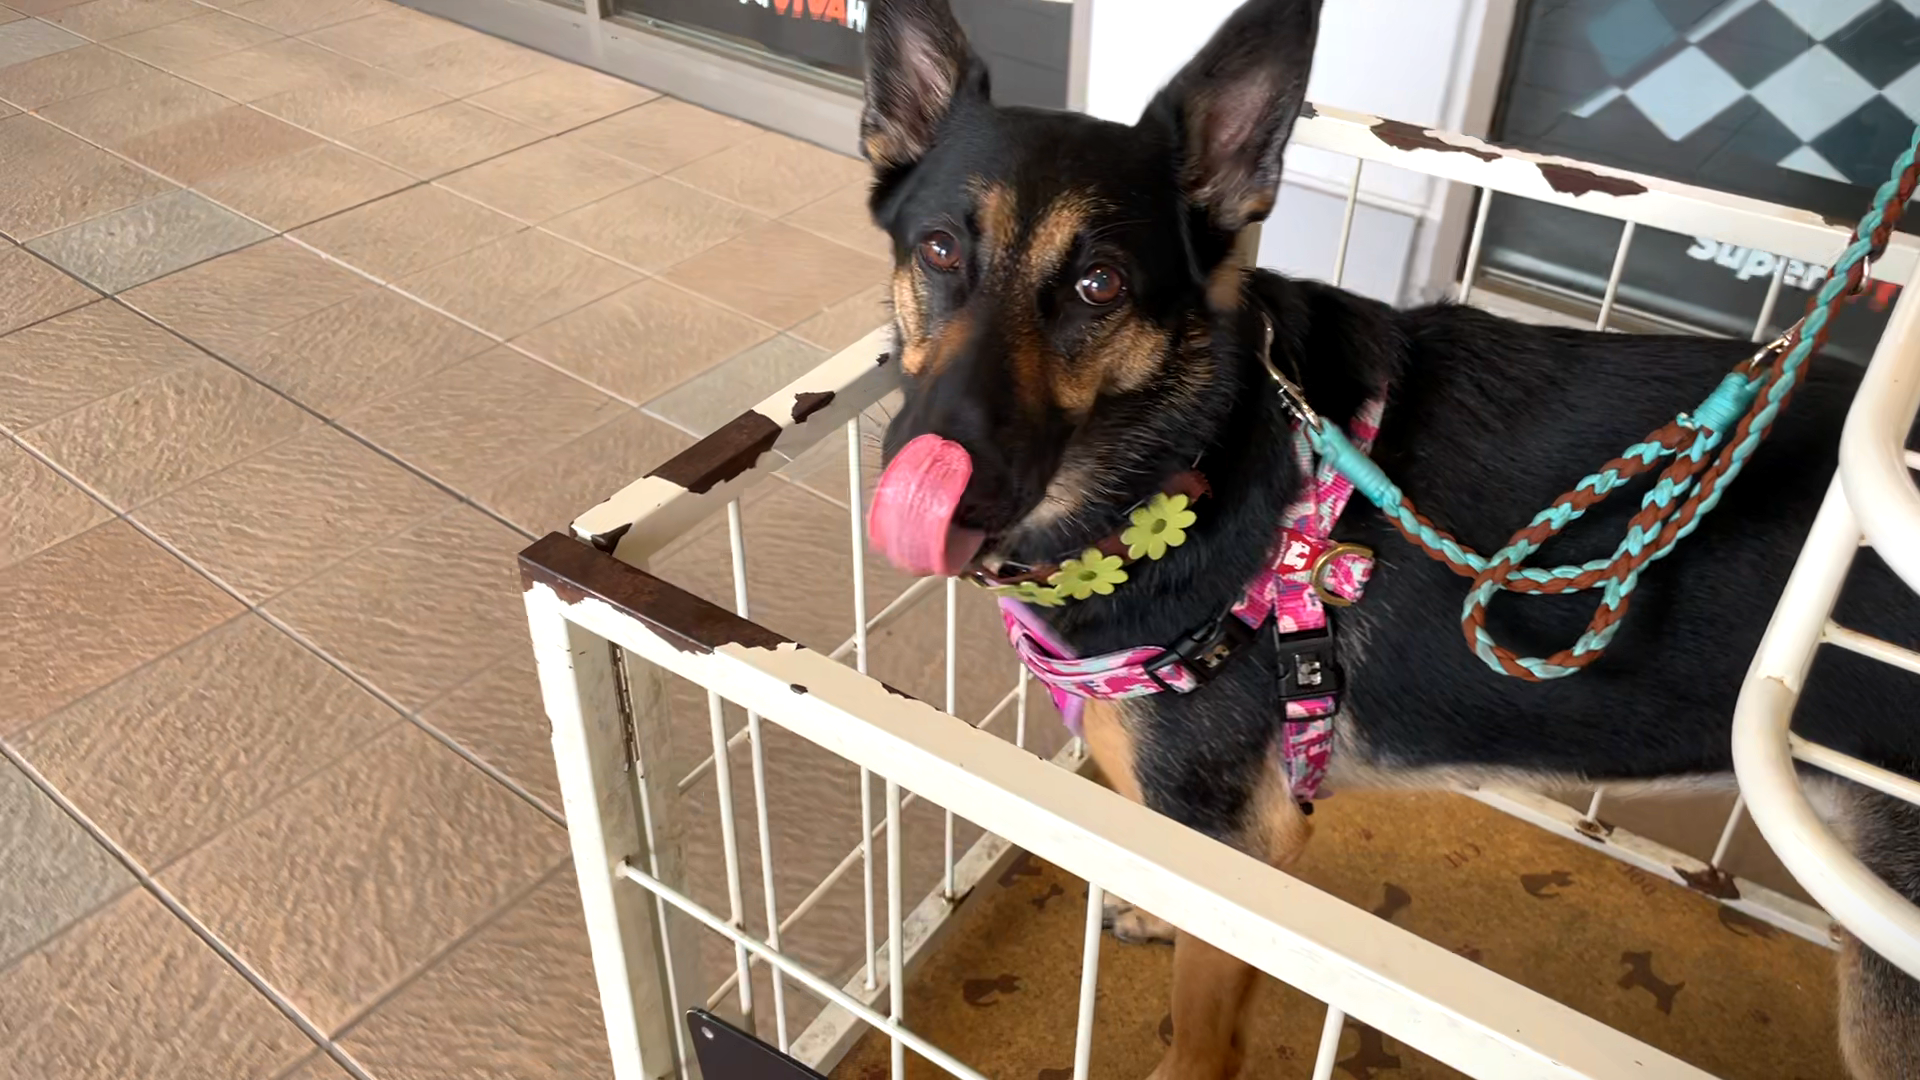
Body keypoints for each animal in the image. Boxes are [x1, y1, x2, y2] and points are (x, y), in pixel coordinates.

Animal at [855, 0, 1920, 1076]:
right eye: (939, 251)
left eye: (1101, 285)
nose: (939, 485)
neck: (1194, 449)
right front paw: (1153, 914)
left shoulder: (1241, 849)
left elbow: (1200, 1029)